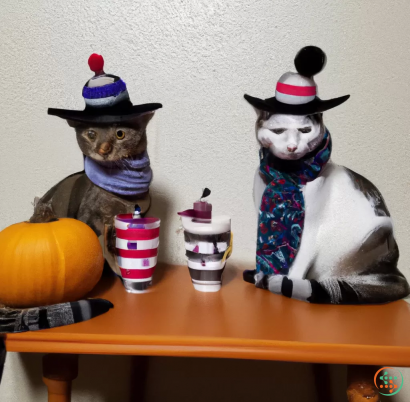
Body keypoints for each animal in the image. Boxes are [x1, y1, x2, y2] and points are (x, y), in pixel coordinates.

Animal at [247, 111, 410, 304]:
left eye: (305, 130)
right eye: (278, 131)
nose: (292, 147)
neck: (287, 173)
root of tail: (395, 269)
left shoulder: (310, 227)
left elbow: (297, 263)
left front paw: (281, 281)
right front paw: (261, 276)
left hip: (376, 233)